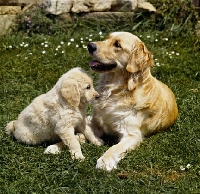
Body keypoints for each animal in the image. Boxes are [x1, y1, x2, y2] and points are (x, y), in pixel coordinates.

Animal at [87, 31, 178, 170]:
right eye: (107, 38)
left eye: (117, 45)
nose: (90, 46)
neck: (116, 90)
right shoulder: (98, 122)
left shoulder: (132, 135)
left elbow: (114, 148)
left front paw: (104, 161)